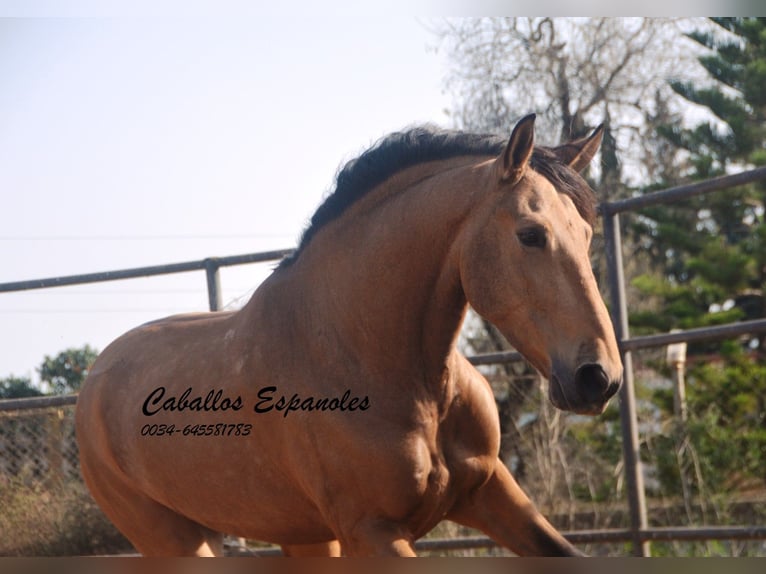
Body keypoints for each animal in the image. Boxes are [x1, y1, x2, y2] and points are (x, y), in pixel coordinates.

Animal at [75, 115, 624, 560]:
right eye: (531, 234)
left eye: (586, 234)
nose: (599, 378)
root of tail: (95, 380)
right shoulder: (372, 531)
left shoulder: (491, 491)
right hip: (176, 539)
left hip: (301, 537)